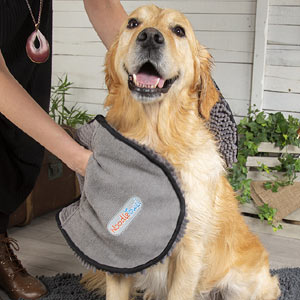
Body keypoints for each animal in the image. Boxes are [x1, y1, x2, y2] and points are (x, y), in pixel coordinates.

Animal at [81, 4, 280, 300]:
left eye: (178, 30)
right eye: (133, 23)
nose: (150, 37)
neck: (154, 136)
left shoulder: (189, 250)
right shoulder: (118, 255)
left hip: (242, 285)